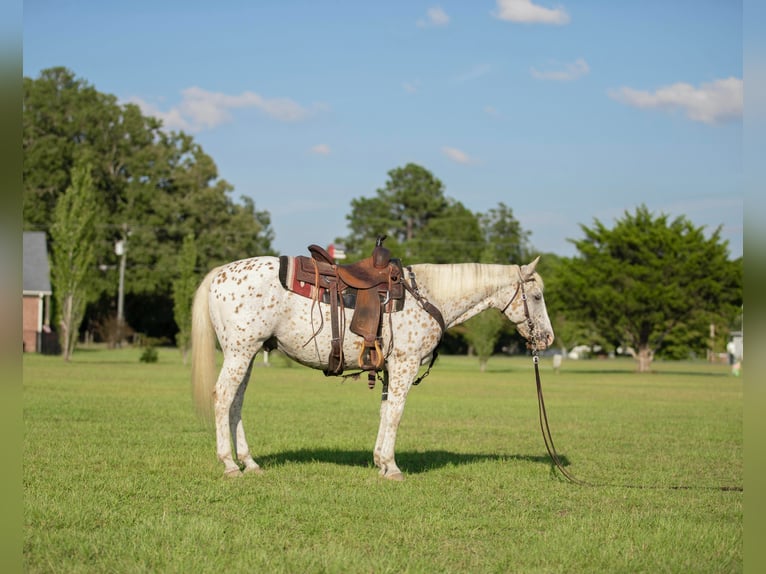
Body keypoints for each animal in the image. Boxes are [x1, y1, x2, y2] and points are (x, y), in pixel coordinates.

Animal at [190, 255, 552, 482]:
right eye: (536, 296)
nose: (547, 338)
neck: (429, 296)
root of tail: (220, 273)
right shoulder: (405, 364)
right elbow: (396, 414)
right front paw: (392, 467)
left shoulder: (390, 369)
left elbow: (385, 411)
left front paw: (380, 461)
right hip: (240, 352)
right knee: (222, 398)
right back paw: (229, 465)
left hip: (247, 354)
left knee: (236, 403)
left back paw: (249, 463)